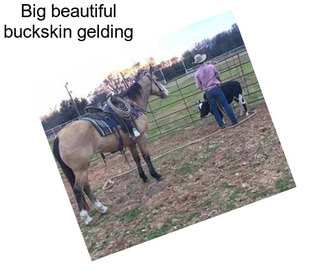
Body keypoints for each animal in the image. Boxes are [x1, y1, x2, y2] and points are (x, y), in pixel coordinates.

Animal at [52, 71, 170, 225]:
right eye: (156, 79)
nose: (166, 92)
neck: (133, 107)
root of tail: (59, 136)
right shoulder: (141, 137)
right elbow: (146, 156)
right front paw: (156, 175)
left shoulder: (131, 142)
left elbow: (136, 159)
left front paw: (143, 177)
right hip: (80, 169)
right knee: (78, 189)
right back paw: (86, 217)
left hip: (81, 168)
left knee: (86, 186)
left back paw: (102, 208)